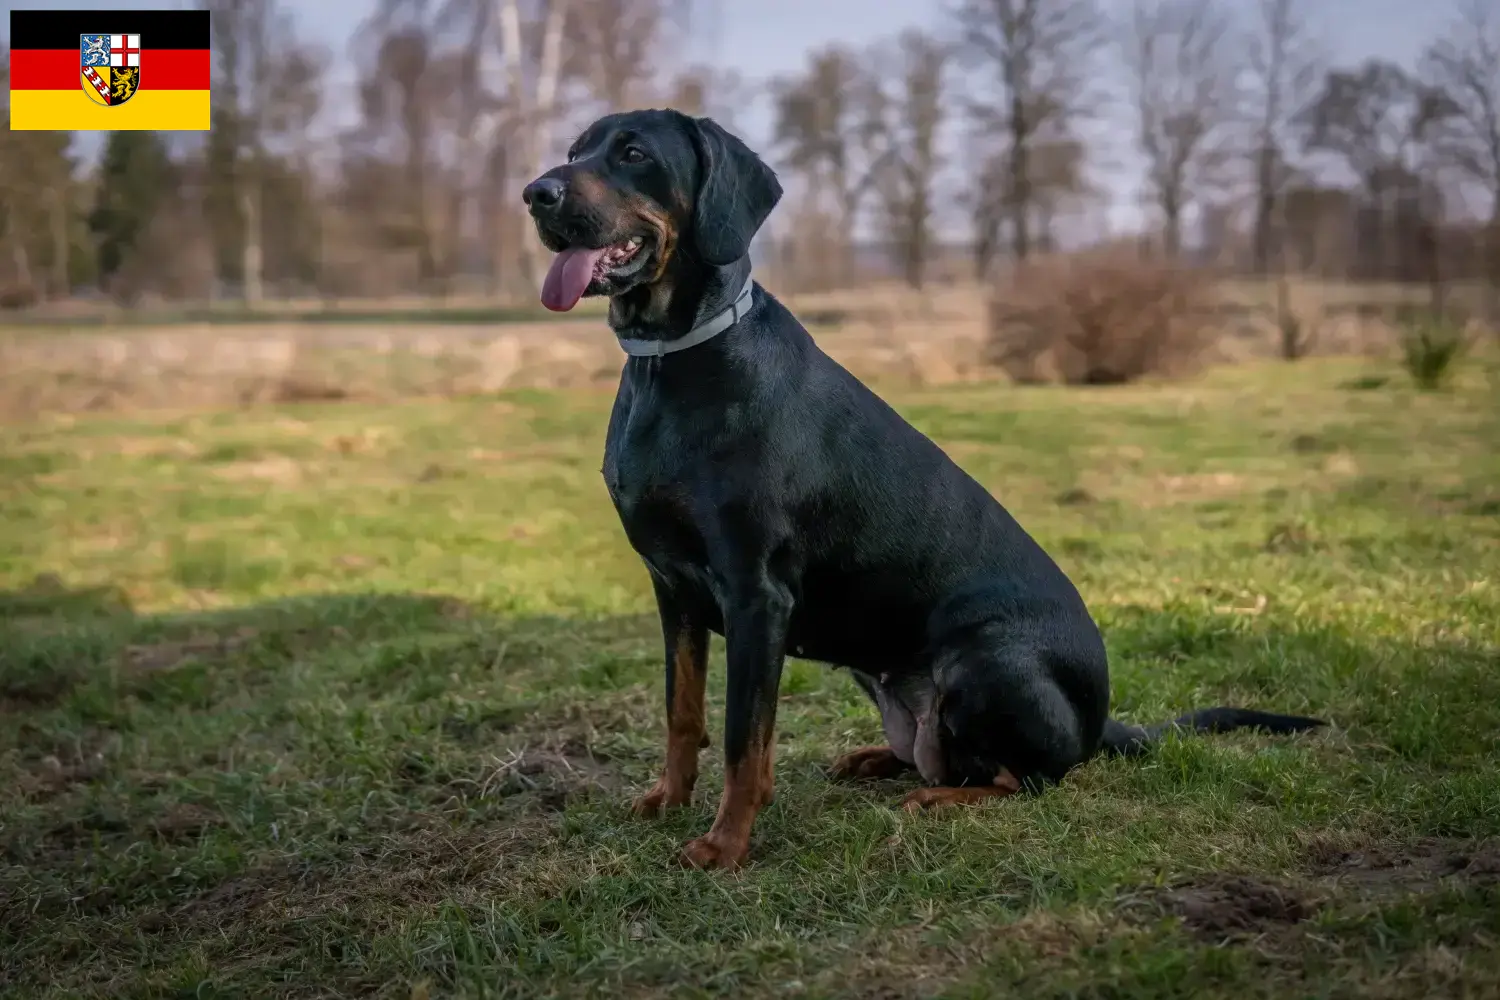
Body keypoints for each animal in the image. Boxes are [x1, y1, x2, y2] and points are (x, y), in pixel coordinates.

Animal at [522, 113, 1320, 869]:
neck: (674, 360)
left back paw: (937, 801)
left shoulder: (756, 594)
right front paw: (667, 801)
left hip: (988, 661)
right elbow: (683, 714)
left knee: (1025, 779)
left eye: (633, 153)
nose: (536, 193)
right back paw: (875, 758)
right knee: (942, 758)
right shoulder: (675, 590)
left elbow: (745, 738)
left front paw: (724, 846)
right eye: (577, 148)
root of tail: (1101, 724)